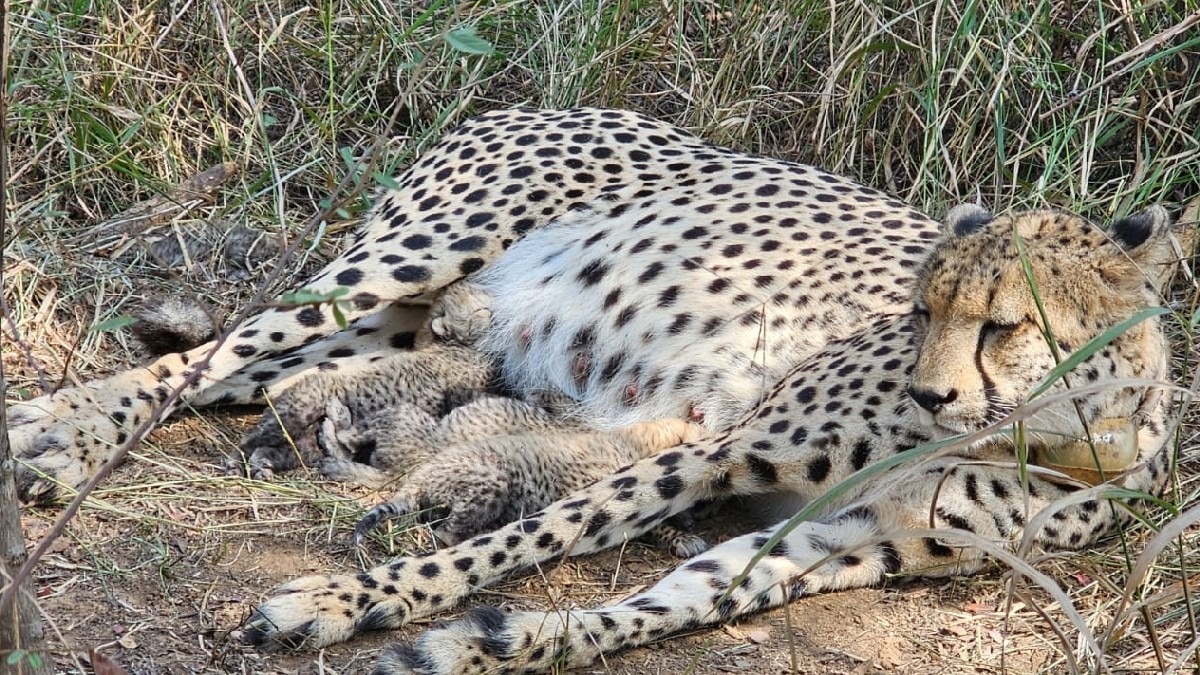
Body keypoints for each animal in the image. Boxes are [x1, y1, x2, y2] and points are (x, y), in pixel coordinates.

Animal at [3, 107, 1182, 674]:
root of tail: (533, 103)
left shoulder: (843, 544)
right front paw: (347, 602)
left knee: (259, 379)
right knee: (207, 356)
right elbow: (531, 536)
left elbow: (664, 603)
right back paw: (58, 436)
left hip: (403, 324)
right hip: (403, 261)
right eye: (922, 310)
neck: (1048, 437)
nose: (934, 398)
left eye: (1004, 325)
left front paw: (489, 645)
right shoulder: (719, 449)